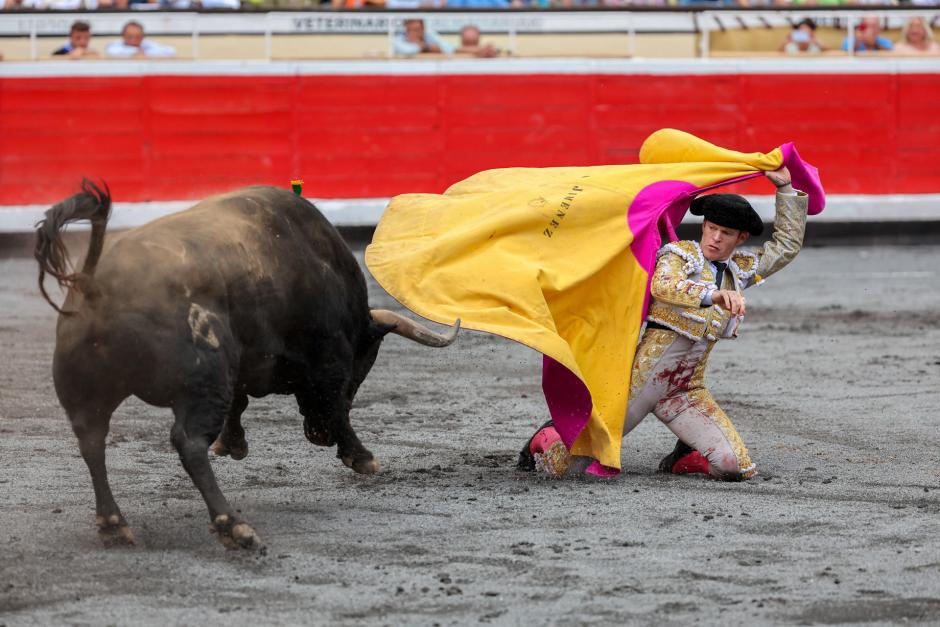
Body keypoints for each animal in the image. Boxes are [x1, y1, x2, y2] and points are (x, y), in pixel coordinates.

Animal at [35, 182, 460, 548]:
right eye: (365, 361)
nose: (318, 435)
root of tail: (94, 284)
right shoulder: (330, 357)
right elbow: (336, 403)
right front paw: (362, 457)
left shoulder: (244, 363)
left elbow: (241, 400)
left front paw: (233, 444)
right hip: (202, 383)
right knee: (188, 444)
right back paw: (233, 526)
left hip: (88, 395)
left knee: (92, 443)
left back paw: (114, 525)